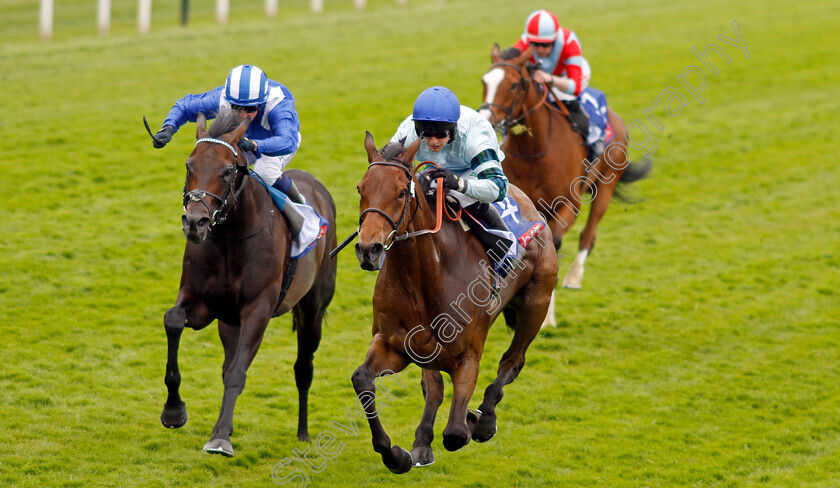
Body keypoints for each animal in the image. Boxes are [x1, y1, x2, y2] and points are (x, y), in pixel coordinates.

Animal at [161, 110, 338, 458]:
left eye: (228, 170)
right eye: (189, 165)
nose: (195, 222)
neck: (232, 237)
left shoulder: (258, 308)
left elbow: (237, 373)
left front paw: (220, 438)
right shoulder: (201, 302)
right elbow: (173, 320)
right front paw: (174, 411)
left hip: (312, 309)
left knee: (303, 368)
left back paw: (303, 433)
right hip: (229, 322)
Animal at [352, 132, 560, 472]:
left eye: (400, 192)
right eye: (361, 188)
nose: (368, 249)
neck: (425, 278)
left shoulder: (468, 355)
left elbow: (455, 434)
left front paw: (475, 420)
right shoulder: (394, 344)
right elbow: (363, 380)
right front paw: (397, 455)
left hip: (536, 303)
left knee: (512, 361)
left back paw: (484, 420)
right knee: (434, 386)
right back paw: (423, 442)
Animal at [480, 43, 648, 294]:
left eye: (513, 85)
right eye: (484, 82)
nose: (486, 120)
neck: (535, 151)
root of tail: (615, 118)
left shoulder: (569, 203)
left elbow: (556, 242)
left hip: (606, 184)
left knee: (588, 234)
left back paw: (573, 277)